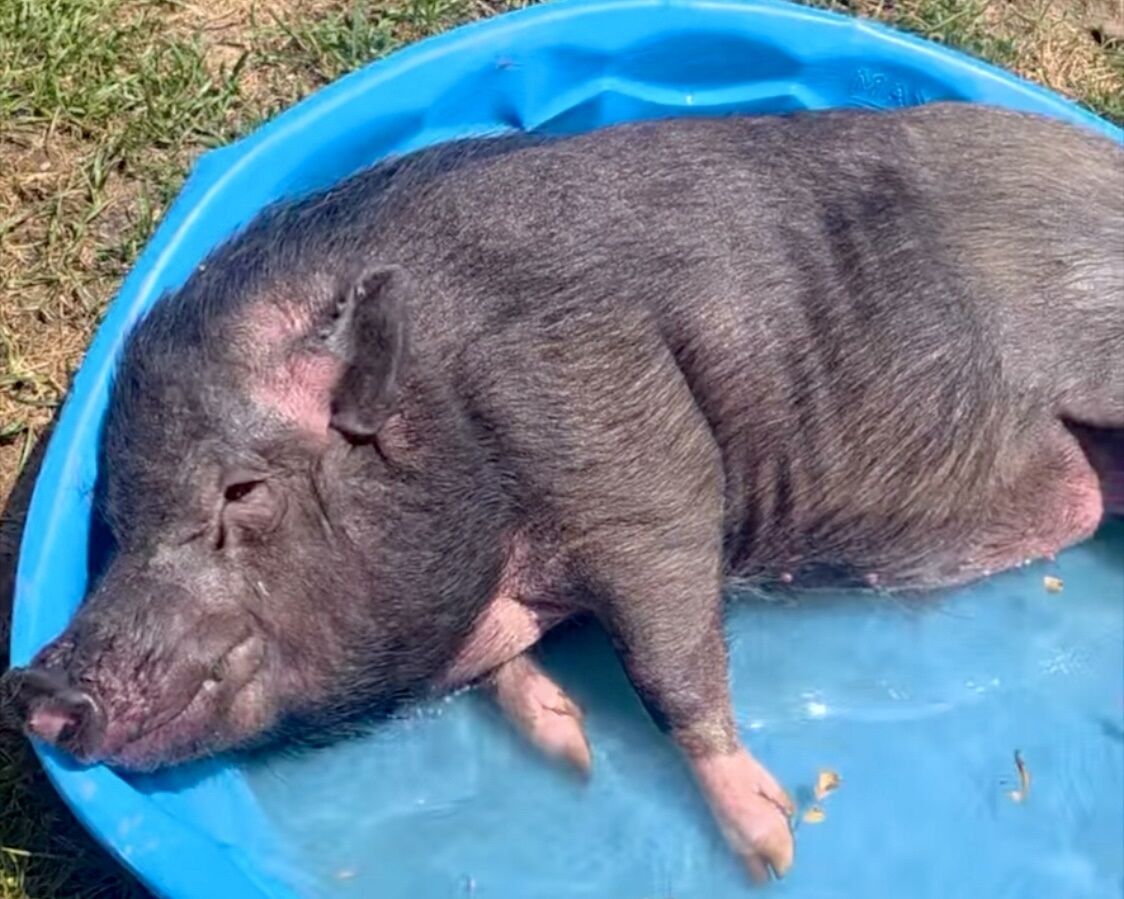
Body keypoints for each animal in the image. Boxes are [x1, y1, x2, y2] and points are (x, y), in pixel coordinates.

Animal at [4, 102, 1123, 884]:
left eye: (241, 491)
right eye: (118, 522)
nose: (35, 687)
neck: (452, 407)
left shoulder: (630, 445)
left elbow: (668, 661)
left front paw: (770, 844)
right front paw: (572, 750)